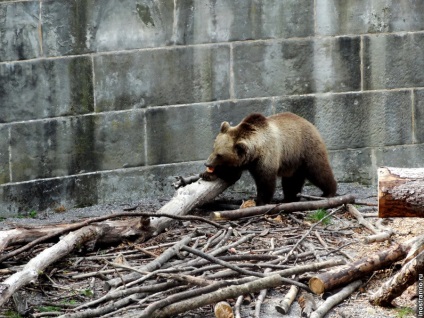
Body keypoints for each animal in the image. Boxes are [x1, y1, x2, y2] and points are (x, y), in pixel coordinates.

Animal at [202, 113, 338, 205]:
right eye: (214, 148)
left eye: (219, 155)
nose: (206, 163)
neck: (255, 152)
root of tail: (310, 123)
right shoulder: (244, 161)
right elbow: (231, 173)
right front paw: (207, 174)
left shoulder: (267, 157)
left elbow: (266, 181)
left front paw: (260, 201)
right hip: (293, 161)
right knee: (292, 181)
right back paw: (290, 197)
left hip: (306, 149)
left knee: (319, 171)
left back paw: (329, 192)